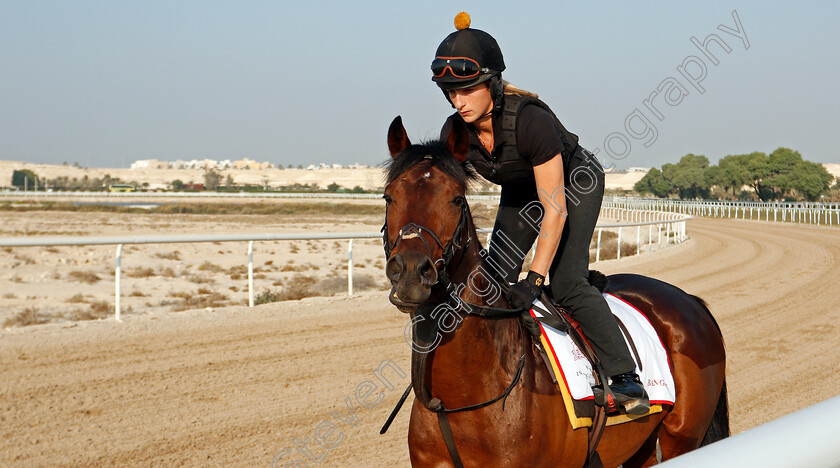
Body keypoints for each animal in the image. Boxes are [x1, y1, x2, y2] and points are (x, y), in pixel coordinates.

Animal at [382, 114, 728, 468]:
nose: (411, 272)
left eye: (455, 198)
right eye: (389, 197)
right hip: (642, 445)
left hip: (682, 438)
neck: (459, 398)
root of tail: (691, 302)